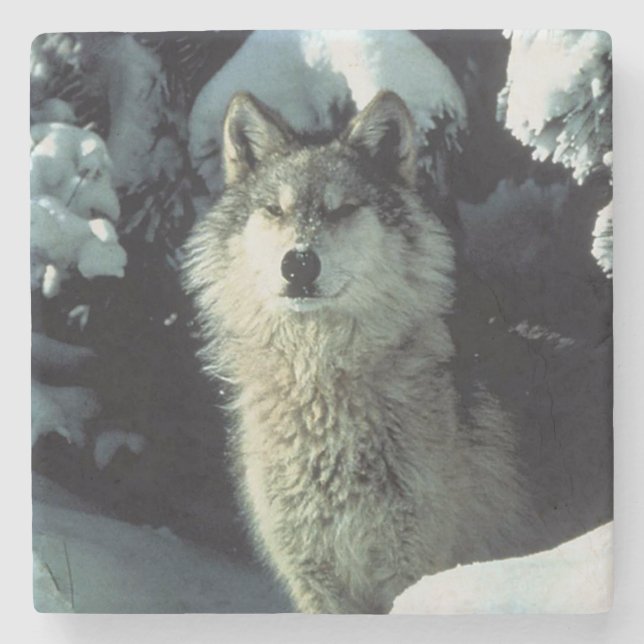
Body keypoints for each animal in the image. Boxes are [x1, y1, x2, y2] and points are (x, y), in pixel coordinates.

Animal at [183, 90, 532, 613]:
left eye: (342, 209)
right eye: (275, 210)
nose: (299, 263)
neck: (321, 387)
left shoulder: (413, 570)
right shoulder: (316, 582)